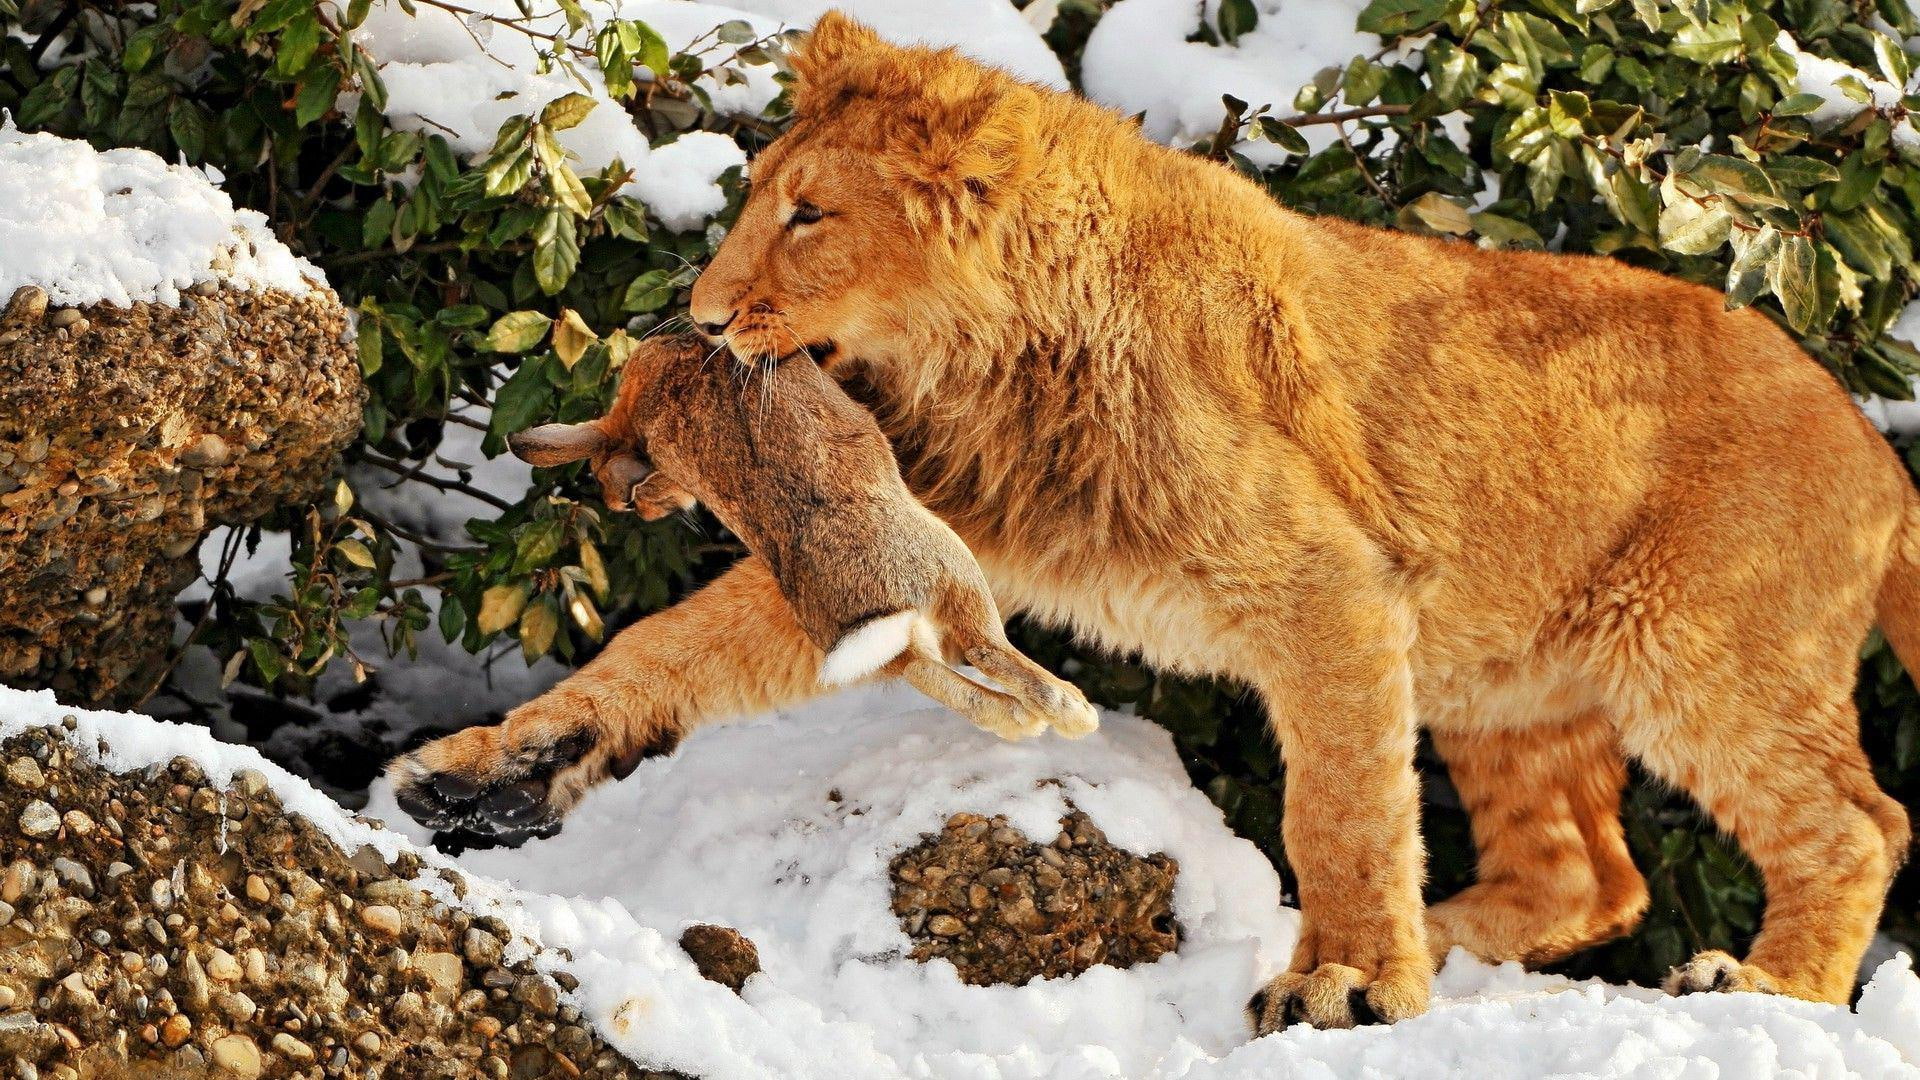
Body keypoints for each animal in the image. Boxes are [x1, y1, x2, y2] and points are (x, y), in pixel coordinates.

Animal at [390, 13, 1915, 1032]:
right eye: (758, 203)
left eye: (808, 214)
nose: (703, 321)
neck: (988, 363)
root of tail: (1876, 449)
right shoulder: (914, 542)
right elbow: (661, 654)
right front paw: (484, 772)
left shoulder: (1332, 584)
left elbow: (1341, 802)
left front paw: (1347, 980)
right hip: (1508, 680)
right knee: (1584, 874)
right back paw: (1450, 945)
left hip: (1701, 650)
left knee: (1855, 823)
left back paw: (1758, 985)